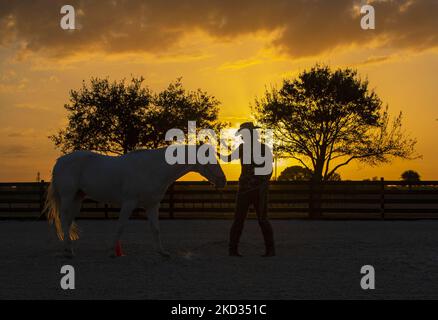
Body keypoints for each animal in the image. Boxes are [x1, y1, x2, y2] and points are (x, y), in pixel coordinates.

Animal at [44, 144, 226, 258]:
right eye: (209, 160)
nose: (223, 181)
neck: (153, 168)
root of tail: (60, 161)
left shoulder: (152, 205)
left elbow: (155, 229)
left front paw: (162, 252)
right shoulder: (129, 203)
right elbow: (120, 227)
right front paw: (112, 252)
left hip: (78, 198)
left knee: (68, 221)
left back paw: (68, 249)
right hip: (68, 196)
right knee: (64, 220)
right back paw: (69, 251)